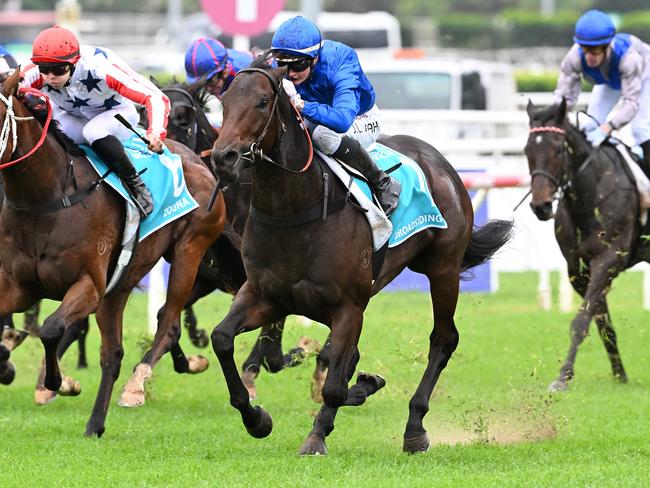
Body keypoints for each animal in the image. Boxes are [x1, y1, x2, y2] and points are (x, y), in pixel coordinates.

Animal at [0, 67, 225, 434]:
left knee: (169, 322)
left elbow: (51, 328)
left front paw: (59, 382)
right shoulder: (18, 286)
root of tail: (195, 159)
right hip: (122, 281)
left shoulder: (89, 285)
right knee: (113, 354)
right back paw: (95, 423)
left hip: (189, 251)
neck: (48, 198)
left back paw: (137, 385)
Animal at [206, 60, 512, 454]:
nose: (223, 157)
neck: (295, 211)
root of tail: (439, 162)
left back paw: (414, 427)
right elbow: (222, 338)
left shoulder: (349, 306)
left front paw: (321, 430)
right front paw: (256, 418)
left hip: (443, 267)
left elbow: (334, 387)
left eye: (261, 102)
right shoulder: (265, 295)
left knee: (443, 340)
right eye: (225, 102)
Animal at [528, 100, 644, 392]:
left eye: (558, 149)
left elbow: (581, 321)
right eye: (527, 150)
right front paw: (620, 375)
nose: (540, 206)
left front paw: (562, 377)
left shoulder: (609, 260)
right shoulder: (578, 270)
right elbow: (602, 321)